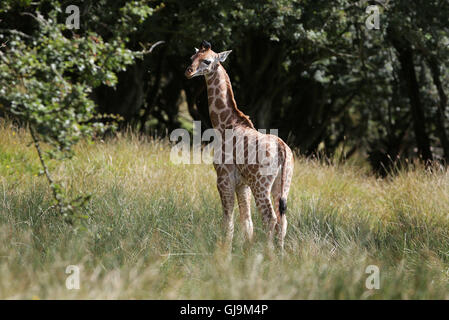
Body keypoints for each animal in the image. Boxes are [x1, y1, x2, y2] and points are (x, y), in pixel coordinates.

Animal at [184, 40, 292, 250]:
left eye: (207, 61)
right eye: (192, 57)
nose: (188, 71)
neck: (225, 123)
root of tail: (282, 148)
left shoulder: (223, 178)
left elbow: (228, 219)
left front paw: (223, 250)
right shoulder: (243, 184)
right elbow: (246, 221)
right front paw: (245, 250)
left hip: (261, 185)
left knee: (270, 218)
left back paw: (268, 253)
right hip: (282, 184)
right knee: (282, 220)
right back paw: (280, 253)